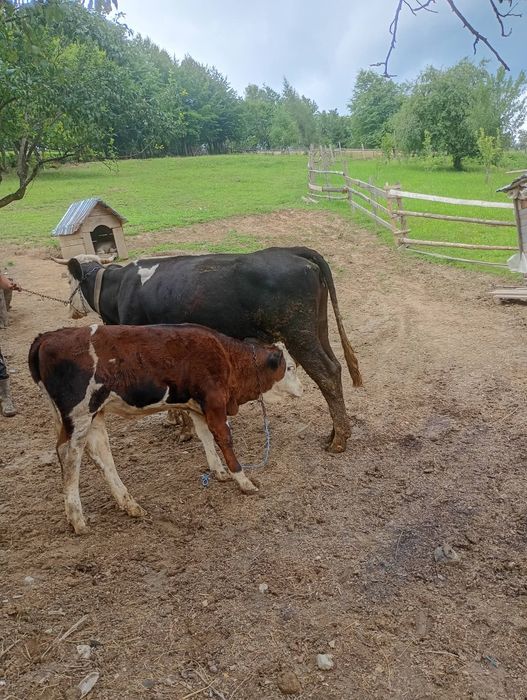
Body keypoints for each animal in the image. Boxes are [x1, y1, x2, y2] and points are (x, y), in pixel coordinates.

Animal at [28, 323, 303, 535]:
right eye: (289, 368)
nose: (302, 389)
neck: (226, 356)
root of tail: (47, 337)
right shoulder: (215, 403)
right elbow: (224, 438)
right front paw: (243, 480)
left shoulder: (199, 406)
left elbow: (205, 437)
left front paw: (218, 471)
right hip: (79, 415)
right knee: (69, 456)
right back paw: (77, 518)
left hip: (94, 415)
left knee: (101, 456)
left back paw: (129, 504)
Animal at [56, 247, 363, 453]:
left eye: (69, 280)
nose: (70, 310)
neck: (121, 287)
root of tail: (290, 251)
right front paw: (176, 421)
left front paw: (182, 428)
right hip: (318, 329)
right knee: (335, 367)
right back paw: (334, 432)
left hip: (299, 334)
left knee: (327, 374)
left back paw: (339, 440)